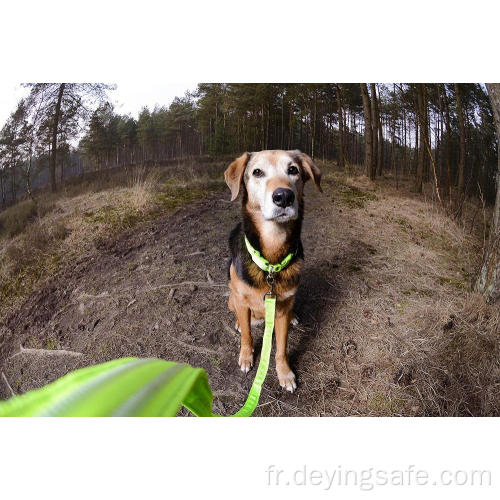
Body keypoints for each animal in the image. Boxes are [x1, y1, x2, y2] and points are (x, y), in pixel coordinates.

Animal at [225, 148, 322, 390]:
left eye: (293, 170)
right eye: (257, 172)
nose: (284, 196)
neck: (270, 258)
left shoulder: (282, 307)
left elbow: (281, 348)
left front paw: (284, 373)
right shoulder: (241, 300)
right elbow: (247, 335)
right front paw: (246, 356)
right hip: (231, 297)